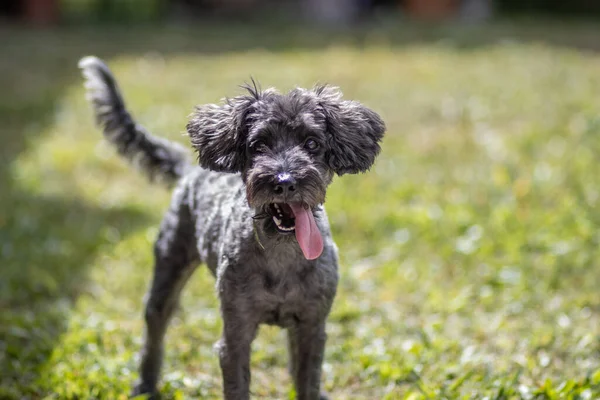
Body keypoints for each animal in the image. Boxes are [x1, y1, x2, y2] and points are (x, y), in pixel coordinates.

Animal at [78, 56, 384, 400]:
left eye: (312, 142)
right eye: (259, 145)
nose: (284, 181)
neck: (282, 256)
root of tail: (190, 171)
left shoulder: (313, 326)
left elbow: (307, 379)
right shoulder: (236, 332)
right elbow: (237, 382)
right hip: (168, 266)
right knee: (155, 326)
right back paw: (145, 384)